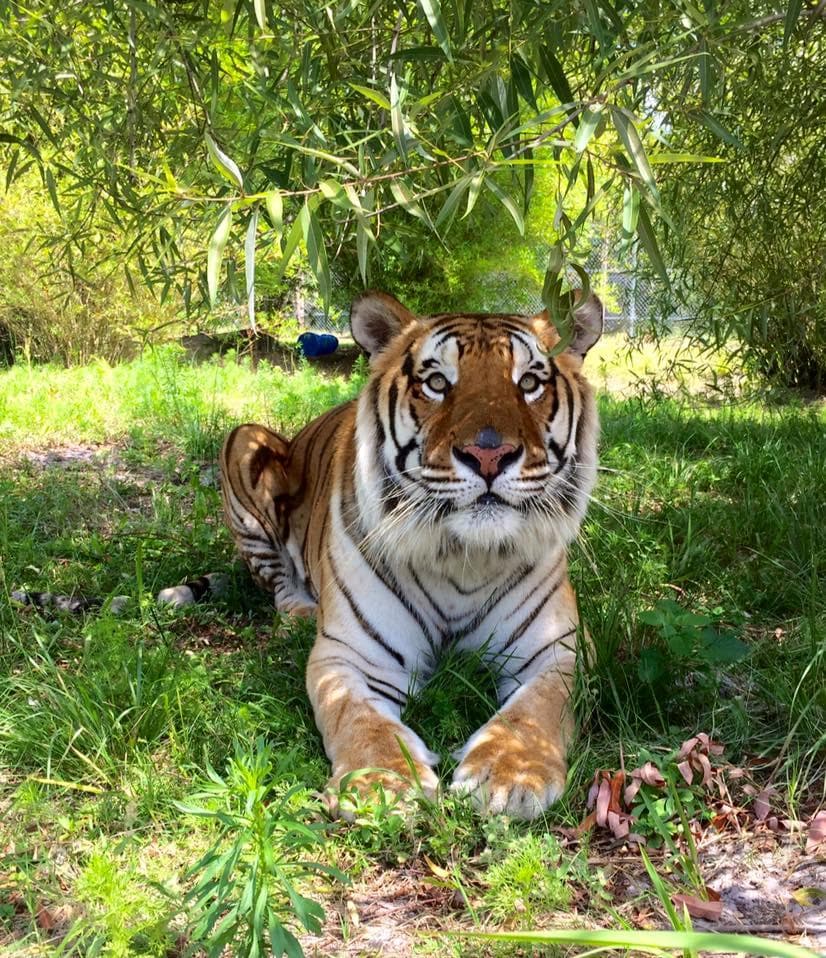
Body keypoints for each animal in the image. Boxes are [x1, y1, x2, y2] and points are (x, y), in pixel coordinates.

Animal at [220, 289, 603, 819]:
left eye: (528, 382)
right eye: (438, 382)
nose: (488, 455)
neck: (463, 556)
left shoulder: (557, 649)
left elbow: (537, 709)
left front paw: (510, 774)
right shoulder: (350, 656)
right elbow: (358, 718)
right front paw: (382, 783)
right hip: (243, 441)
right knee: (276, 580)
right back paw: (300, 611)